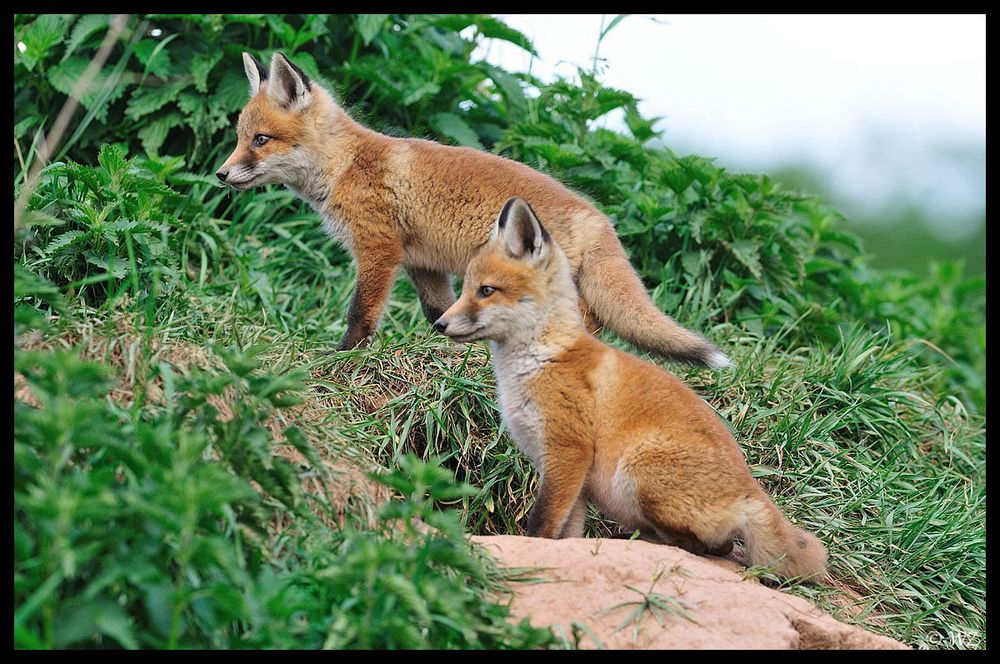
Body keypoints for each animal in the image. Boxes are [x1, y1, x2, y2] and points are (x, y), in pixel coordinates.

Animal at [217, 50, 728, 368]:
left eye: (261, 141)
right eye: (241, 139)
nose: (220, 175)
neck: (345, 167)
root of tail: (598, 218)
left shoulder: (379, 251)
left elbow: (360, 315)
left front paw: (344, 357)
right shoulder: (420, 263)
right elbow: (437, 311)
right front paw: (453, 347)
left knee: (587, 317)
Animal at [436, 198, 828, 580]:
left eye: (486, 291)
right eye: (467, 288)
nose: (439, 323)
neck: (541, 358)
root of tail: (751, 487)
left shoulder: (568, 451)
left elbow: (542, 524)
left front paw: (533, 550)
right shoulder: (575, 477)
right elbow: (569, 533)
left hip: (635, 472)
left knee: (708, 546)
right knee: (722, 546)